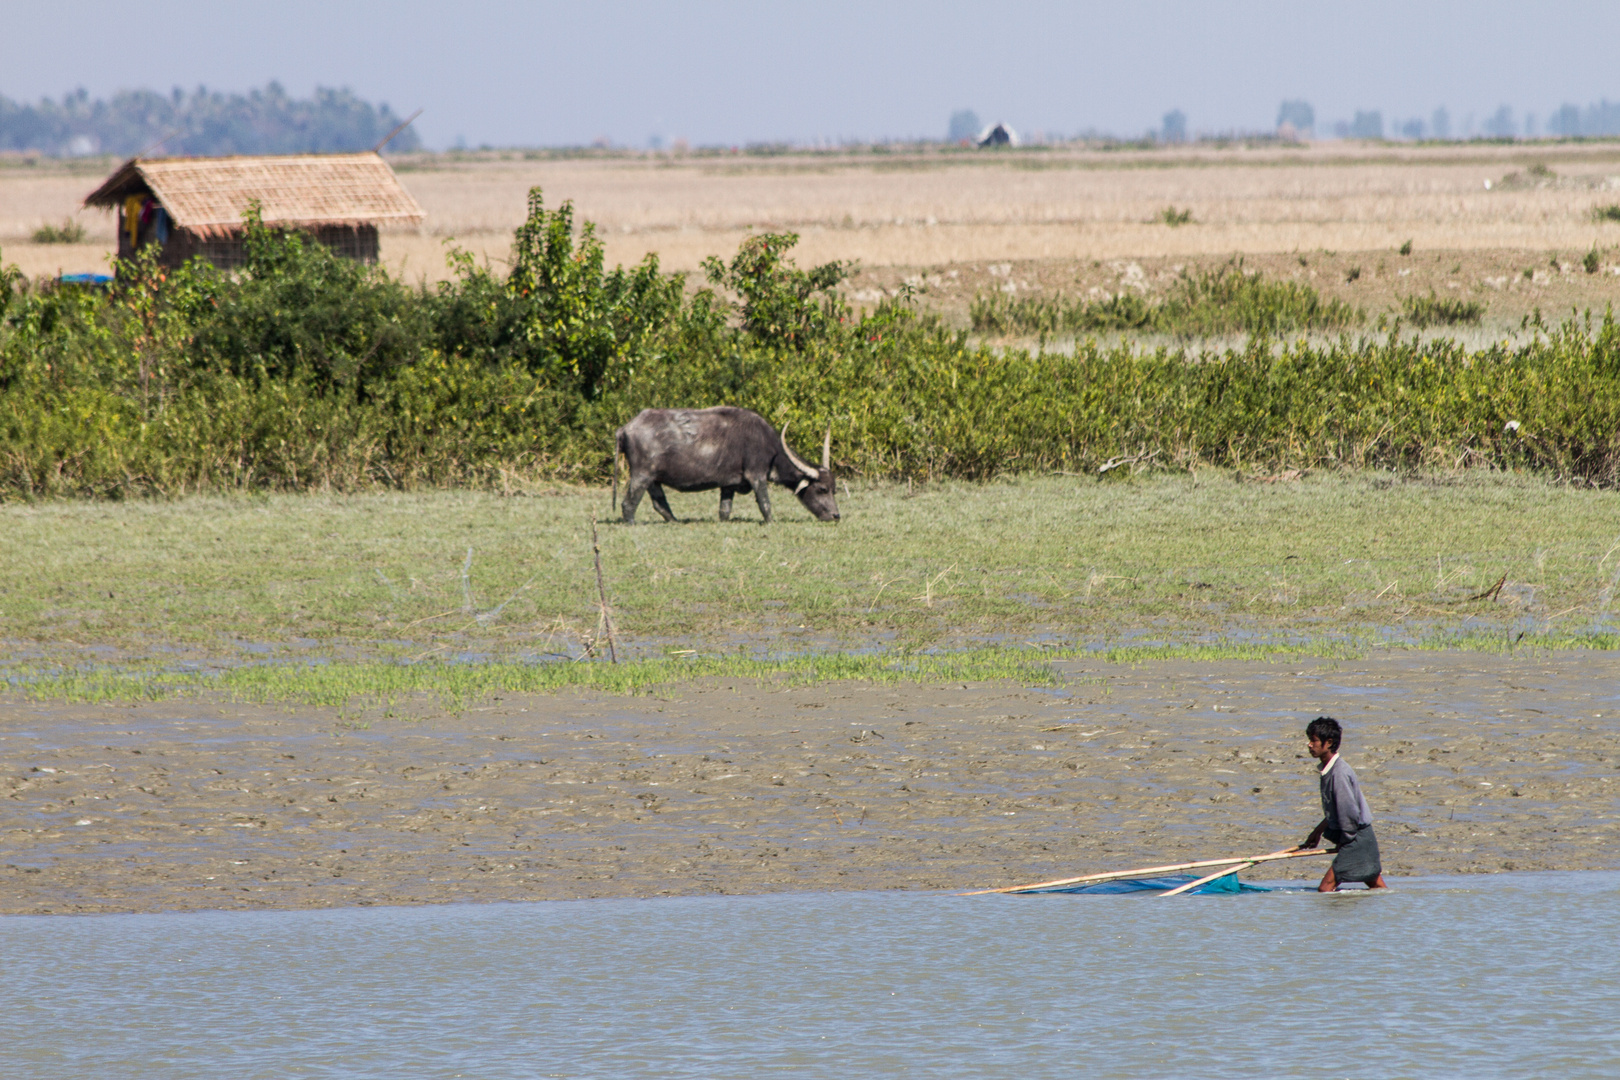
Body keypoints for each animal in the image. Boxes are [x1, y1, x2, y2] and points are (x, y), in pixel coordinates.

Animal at [612, 404, 842, 524]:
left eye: (834, 489)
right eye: (822, 489)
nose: (836, 515)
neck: (771, 448)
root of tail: (625, 429)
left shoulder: (729, 484)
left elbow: (724, 510)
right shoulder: (756, 475)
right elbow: (765, 503)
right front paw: (770, 521)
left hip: (653, 479)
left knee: (659, 503)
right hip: (641, 475)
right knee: (628, 503)